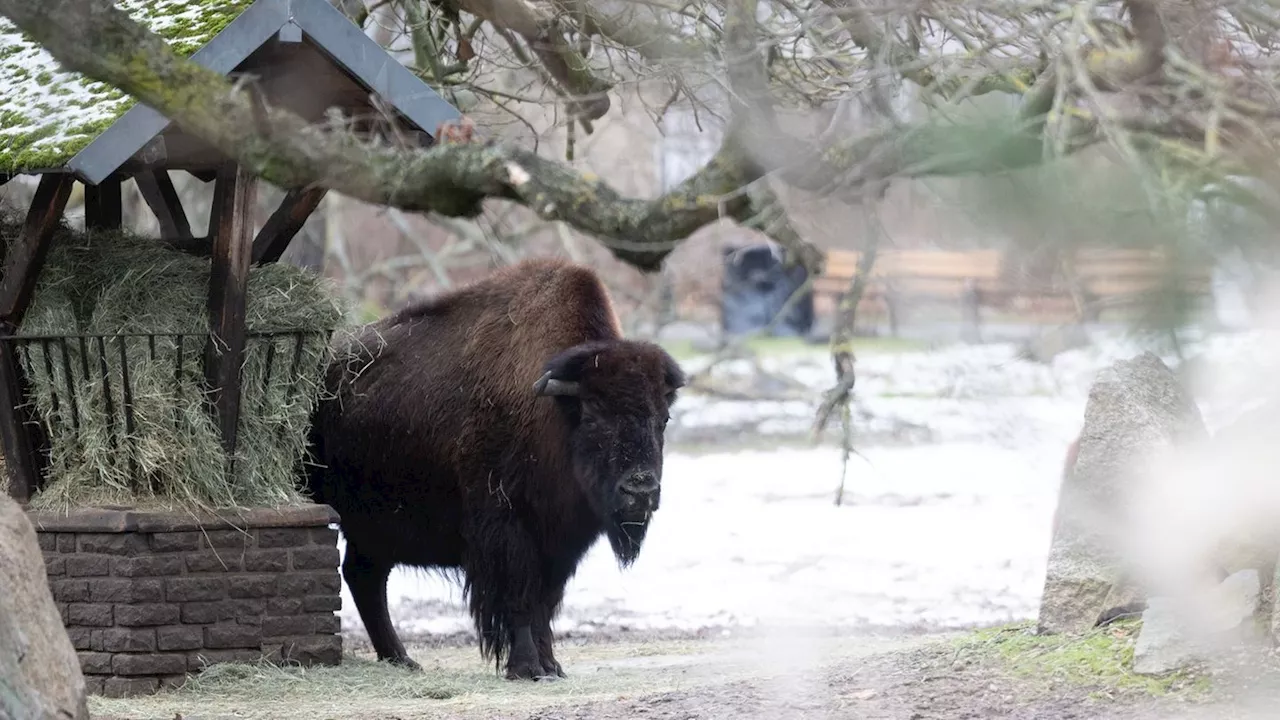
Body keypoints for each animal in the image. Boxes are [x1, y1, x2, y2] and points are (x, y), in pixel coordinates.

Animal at [303, 257, 686, 676]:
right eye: (594, 415)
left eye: (663, 419)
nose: (640, 490)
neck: (555, 412)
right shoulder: (506, 529)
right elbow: (519, 599)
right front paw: (528, 668)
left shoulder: (560, 542)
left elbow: (544, 604)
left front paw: (551, 666)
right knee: (365, 579)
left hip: (374, 530)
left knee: (365, 577)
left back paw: (403, 660)